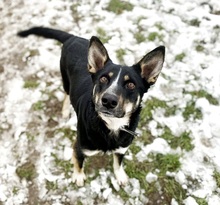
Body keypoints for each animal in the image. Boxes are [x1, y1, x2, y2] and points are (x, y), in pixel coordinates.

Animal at [17, 27, 165, 187]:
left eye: (131, 84)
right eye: (103, 78)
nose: (109, 100)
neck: (110, 126)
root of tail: (73, 37)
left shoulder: (122, 148)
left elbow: (118, 162)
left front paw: (120, 175)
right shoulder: (80, 147)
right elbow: (79, 163)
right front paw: (78, 176)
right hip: (65, 80)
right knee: (66, 94)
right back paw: (65, 111)